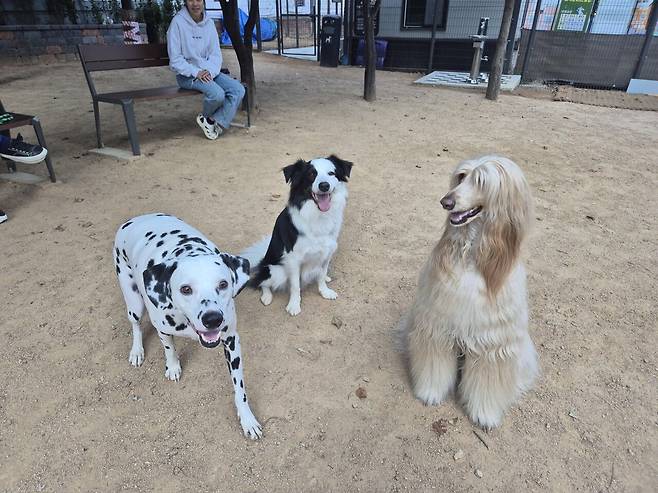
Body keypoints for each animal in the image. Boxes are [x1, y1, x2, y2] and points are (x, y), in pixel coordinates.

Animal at [113, 211, 262, 438]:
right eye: (185, 289)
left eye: (223, 284)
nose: (213, 319)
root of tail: (138, 218)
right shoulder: (162, 328)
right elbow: (169, 348)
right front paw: (173, 367)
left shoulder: (231, 341)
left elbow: (240, 389)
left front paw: (247, 419)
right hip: (133, 301)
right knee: (136, 324)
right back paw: (137, 351)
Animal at [241, 154, 352, 316]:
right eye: (311, 174)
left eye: (331, 173)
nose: (324, 185)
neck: (318, 216)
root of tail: (263, 262)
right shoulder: (294, 259)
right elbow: (295, 286)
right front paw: (294, 305)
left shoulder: (327, 252)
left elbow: (321, 275)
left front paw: (324, 291)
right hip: (277, 271)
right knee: (262, 282)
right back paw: (266, 297)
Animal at [402, 156, 536, 428]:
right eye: (461, 177)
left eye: (482, 181)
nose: (446, 202)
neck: (473, 256)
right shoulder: (438, 324)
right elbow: (435, 362)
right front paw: (430, 393)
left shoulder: (493, 340)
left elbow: (487, 378)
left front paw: (484, 414)